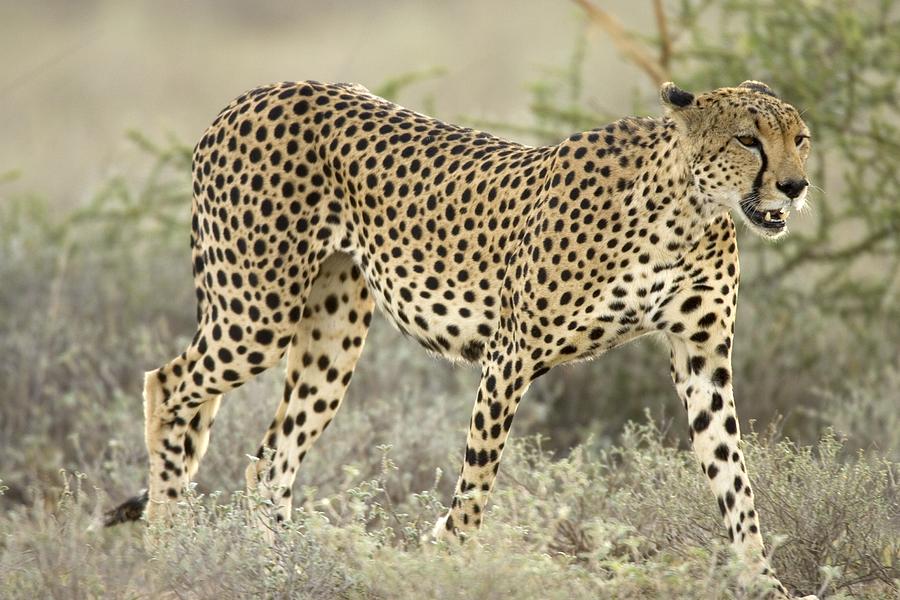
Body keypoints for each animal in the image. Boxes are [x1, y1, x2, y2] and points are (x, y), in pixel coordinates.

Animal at [105, 78, 816, 596]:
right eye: (749, 140)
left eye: (801, 139)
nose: (795, 186)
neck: (686, 211)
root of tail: (253, 94)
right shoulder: (511, 355)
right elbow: (476, 485)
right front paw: (445, 561)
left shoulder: (702, 360)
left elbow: (735, 481)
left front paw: (765, 583)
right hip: (258, 313)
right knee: (167, 384)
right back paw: (167, 548)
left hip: (332, 331)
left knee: (270, 458)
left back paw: (279, 570)